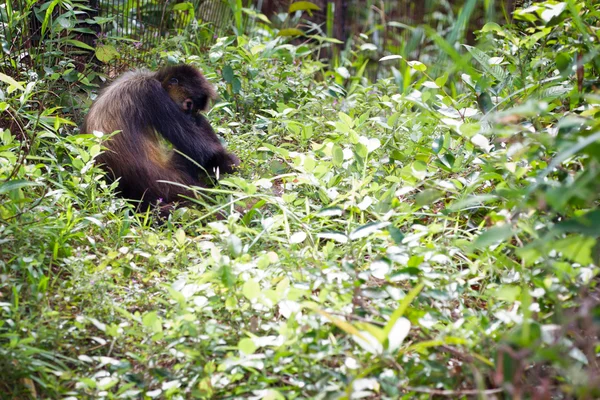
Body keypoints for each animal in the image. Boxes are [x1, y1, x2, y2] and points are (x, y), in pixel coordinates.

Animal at [82, 64, 241, 211]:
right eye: (188, 105)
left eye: (195, 109)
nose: (191, 118)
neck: (152, 77)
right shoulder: (152, 92)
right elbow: (202, 152)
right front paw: (231, 166)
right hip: (171, 181)